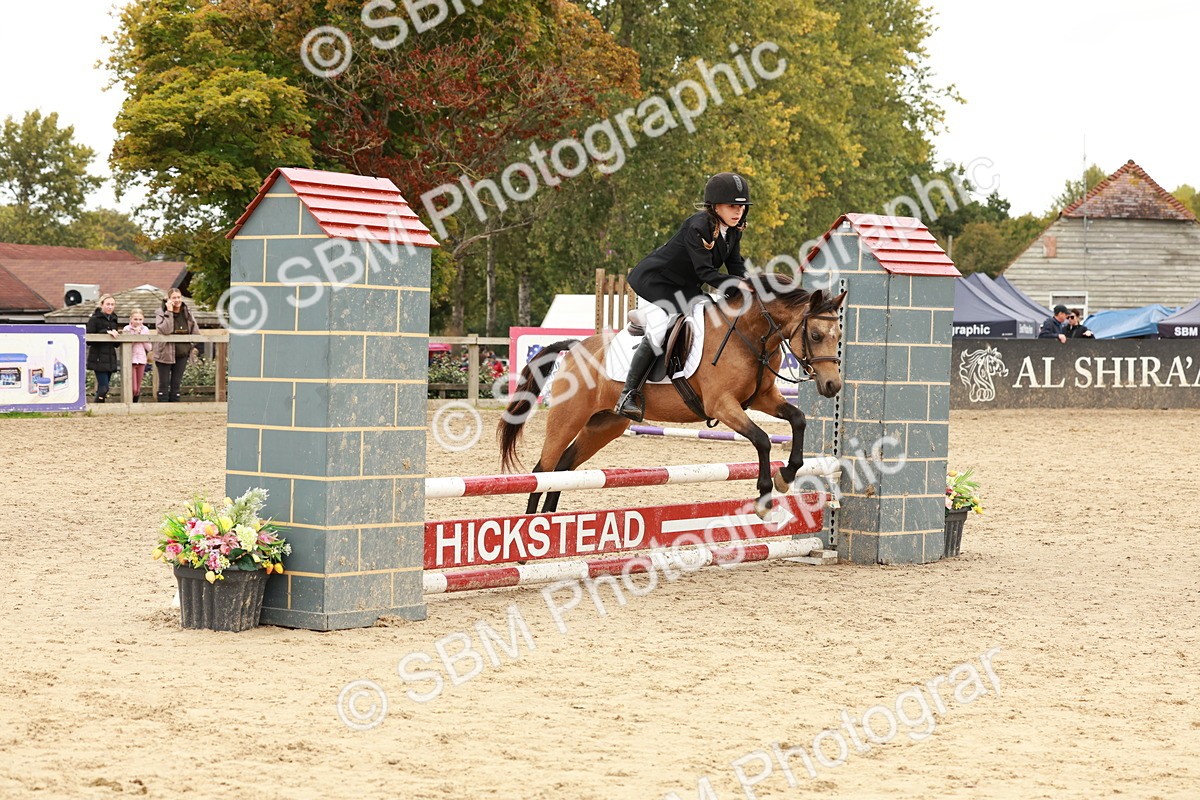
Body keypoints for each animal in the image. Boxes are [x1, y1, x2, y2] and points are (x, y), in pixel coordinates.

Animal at [498, 276, 846, 518]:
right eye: (815, 335)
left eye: (839, 335)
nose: (833, 386)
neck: (748, 334)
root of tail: (576, 347)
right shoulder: (723, 405)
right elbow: (761, 439)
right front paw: (764, 496)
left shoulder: (763, 398)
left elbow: (798, 419)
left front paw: (786, 474)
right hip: (568, 418)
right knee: (542, 470)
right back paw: (530, 537)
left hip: (604, 425)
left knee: (564, 467)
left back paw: (551, 527)